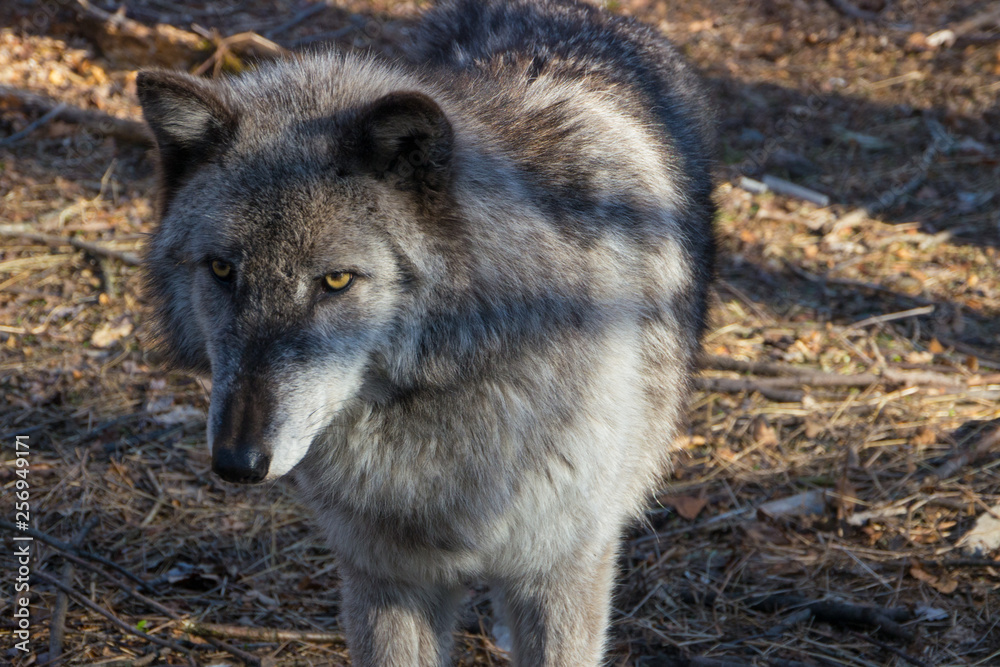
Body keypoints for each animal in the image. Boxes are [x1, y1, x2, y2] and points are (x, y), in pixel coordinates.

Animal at [137, 0, 715, 664]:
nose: (237, 461)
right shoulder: (385, 576)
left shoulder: (562, 568)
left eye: (336, 280)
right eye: (222, 270)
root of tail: (574, 12)